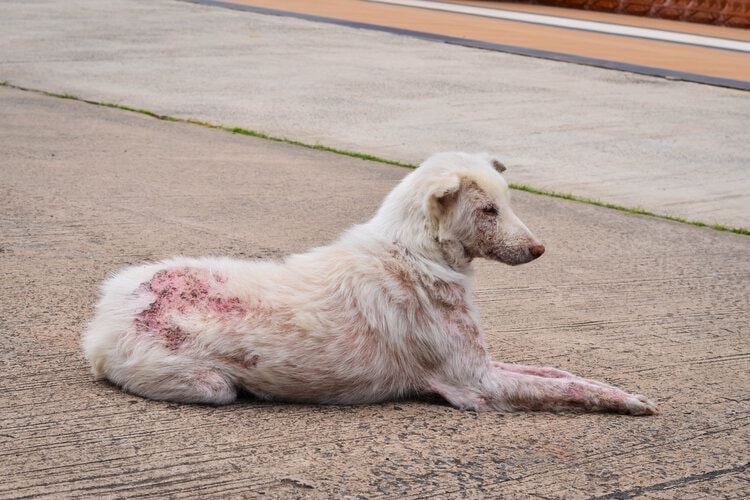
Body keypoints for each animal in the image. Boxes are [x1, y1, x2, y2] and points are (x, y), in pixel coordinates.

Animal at [81, 151, 656, 414]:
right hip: (211, 386)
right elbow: (568, 388)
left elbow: (559, 372)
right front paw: (629, 403)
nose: (539, 251)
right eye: (488, 210)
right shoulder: (476, 384)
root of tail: (103, 318)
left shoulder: (485, 366)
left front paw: (624, 390)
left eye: (508, 203)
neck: (416, 254)